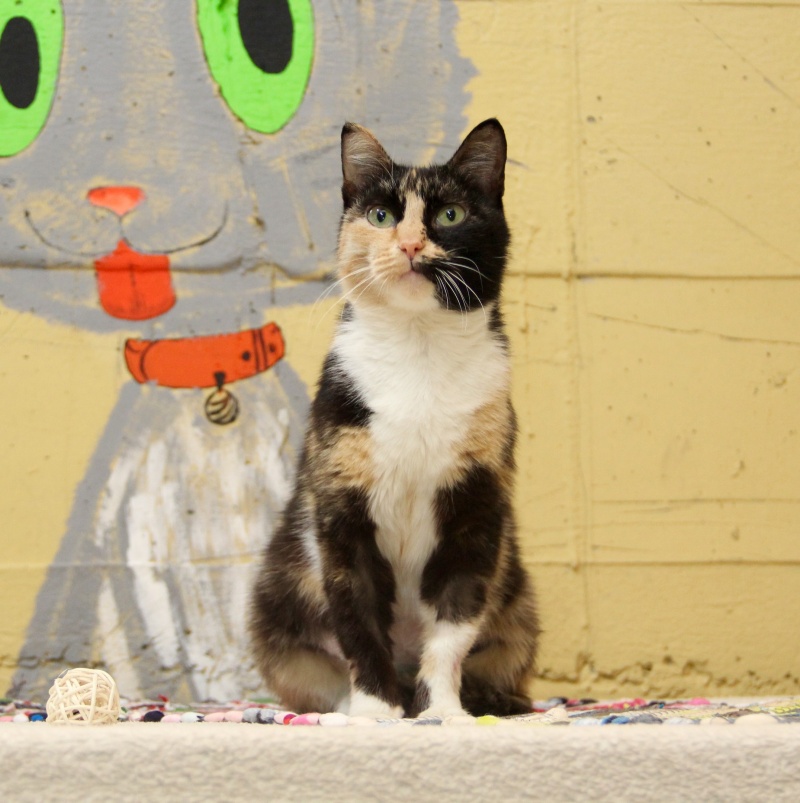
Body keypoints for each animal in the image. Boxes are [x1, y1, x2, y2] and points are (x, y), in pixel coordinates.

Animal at [249, 119, 539, 718]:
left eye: (450, 214)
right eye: (381, 215)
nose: (408, 244)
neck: (418, 348)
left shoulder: (477, 507)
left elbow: (455, 622)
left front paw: (443, 711)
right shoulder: (340, 508)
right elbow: (356, 620)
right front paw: (377, 713)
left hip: (521, 603)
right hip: (274, 609)